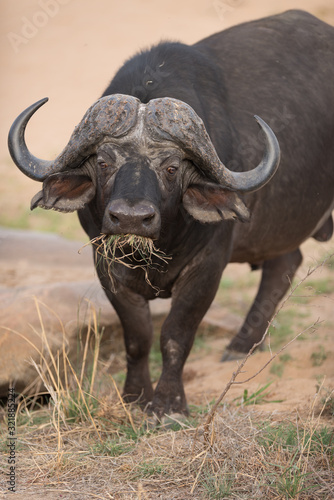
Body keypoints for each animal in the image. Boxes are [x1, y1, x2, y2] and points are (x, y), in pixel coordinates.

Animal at [8, 10, 334, 418]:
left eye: (172, 167)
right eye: (103, 162)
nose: (131, 218)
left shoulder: (208, 266)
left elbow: (176, 335)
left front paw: (168, 404)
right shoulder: (105, 264)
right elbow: (138, 337)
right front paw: (135, 397)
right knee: (285, 262)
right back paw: (241, 346)